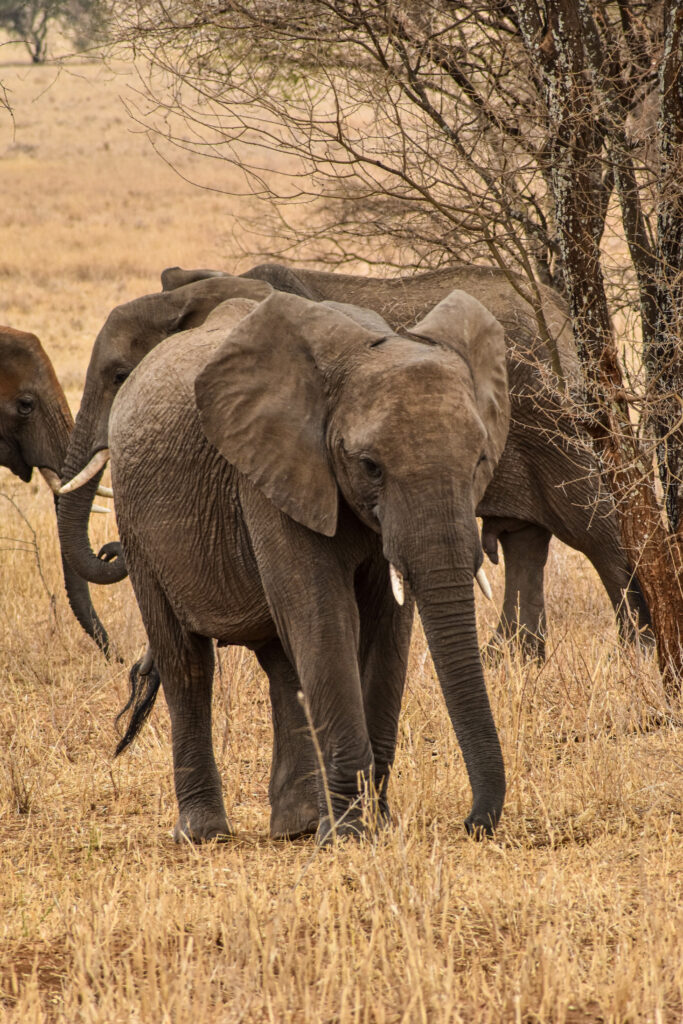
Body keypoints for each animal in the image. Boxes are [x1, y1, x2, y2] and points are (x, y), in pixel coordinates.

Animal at [109, 286, 509, 839]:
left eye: (479, 461)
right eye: (370, 466)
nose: (471, 824)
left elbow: (387, 623)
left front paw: (372, 822)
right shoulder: (270, 473)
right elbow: (322, 615)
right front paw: (350, 836)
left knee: (282, 664)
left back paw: (295, 827)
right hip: (136, 521)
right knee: (186, 662)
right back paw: (204, 833)